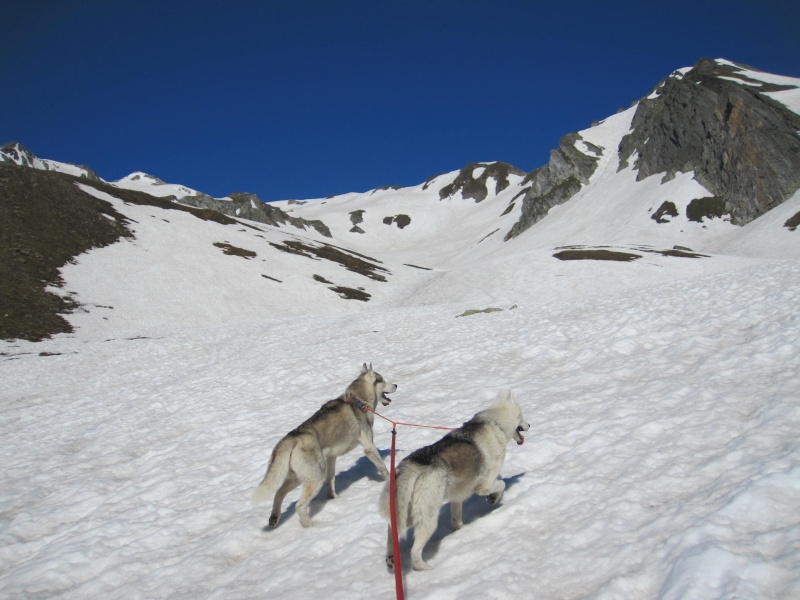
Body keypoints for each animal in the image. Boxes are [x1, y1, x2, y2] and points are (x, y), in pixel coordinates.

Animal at [253, 364, 396, 528]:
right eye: (383, 381)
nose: (396, 385)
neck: (358, 401)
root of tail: (291, 437)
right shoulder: (369, 446)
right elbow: (383, 468)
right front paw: (389, 481)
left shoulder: (331, 457)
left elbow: (331, 481)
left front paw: (334, 499)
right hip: (315, 478)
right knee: (299, 505)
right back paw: (311, 525)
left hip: (298, 477)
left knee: (279, 493)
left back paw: (274, 518)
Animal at [380, 392, 524, 568]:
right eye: (523, 416)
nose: (529, 425)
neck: (495, 423)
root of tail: (414, 465)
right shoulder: (484, 485)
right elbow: (500, 485)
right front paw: (494, 498)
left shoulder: (457, 496)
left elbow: (456, 518)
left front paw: (459, 530)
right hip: (427, 518)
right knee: (415, 551)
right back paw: (425, 568)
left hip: (406, 513)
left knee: (391, 530)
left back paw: (391, 557)